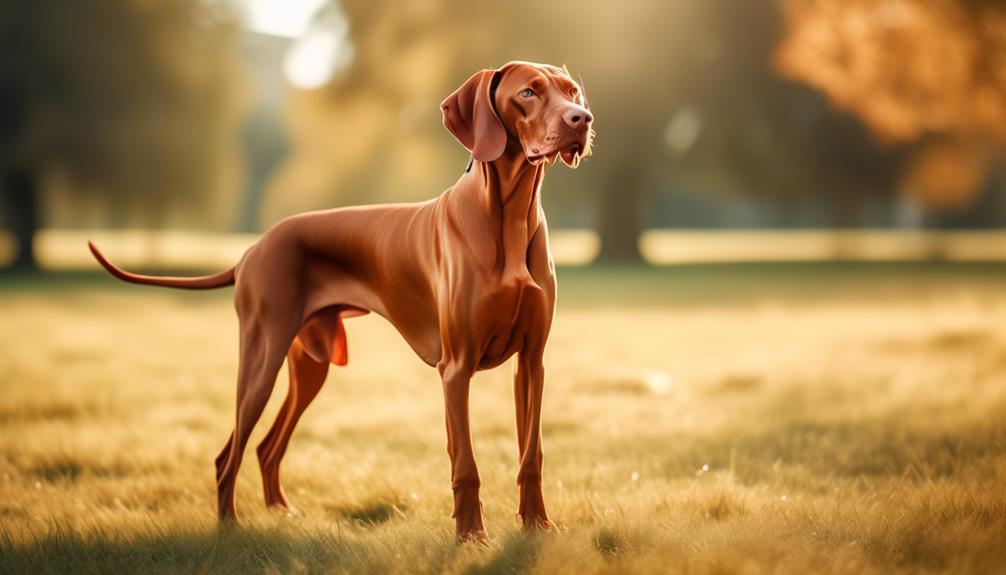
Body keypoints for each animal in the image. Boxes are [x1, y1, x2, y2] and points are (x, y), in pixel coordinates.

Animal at [88, 62, 587, 542]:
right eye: (529, 92)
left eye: (572, 91)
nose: (582, 119)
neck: (509, 216)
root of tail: (254, 249)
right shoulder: (456, 368)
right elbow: (465, 464)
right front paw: (470, 537)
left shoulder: (531, 362)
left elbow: (531, 455)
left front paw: (537, 527)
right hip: (262, 361)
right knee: (228, 454)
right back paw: (229, 528)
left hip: (312, 364)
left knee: (266, 446)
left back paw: (281, 513)